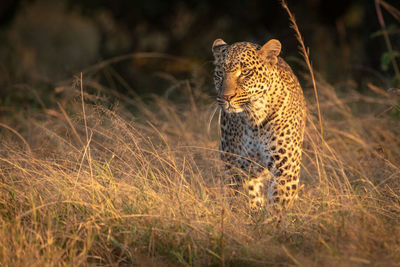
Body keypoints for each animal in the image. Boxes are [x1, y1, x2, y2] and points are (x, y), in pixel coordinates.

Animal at [212, 38, 306, 214]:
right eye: (220, 73)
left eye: (246, 72)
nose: (226, 97)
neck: (253, 119)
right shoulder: (238, 167)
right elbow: (247, 199)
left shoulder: (285, 168)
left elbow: (278, 204)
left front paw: (270, 220)